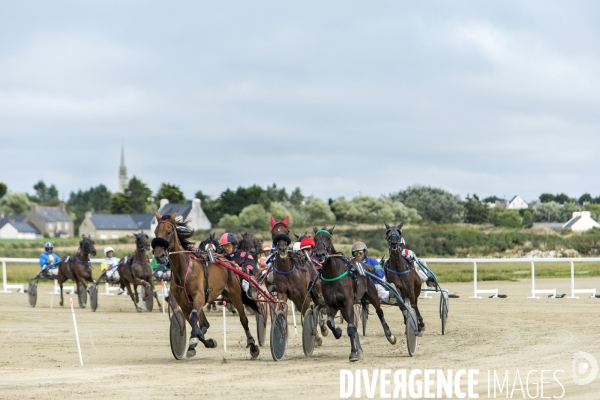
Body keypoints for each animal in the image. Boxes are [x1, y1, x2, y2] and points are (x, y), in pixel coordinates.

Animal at [152, 214, 260, 358]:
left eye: (168, 232)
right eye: (155, 232)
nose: (159, 255)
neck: (184, 270)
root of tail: (228, 263)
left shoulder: (199, 296)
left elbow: (194, 318)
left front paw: (195, 341)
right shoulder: (184, 302)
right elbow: (195, 322)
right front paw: (201, 341)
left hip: (235, 295)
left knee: (244, 320)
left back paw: (252, 345)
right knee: (204, 322)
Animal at [312, 227, 396, 360]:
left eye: (328, 238)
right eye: (315, 239)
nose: (320, 254)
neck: (333, 274)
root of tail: (364, 265)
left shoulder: (348, 302)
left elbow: (351, 328)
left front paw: (353, 353)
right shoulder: (331, 304)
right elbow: (331, 323)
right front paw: (338, 332)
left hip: (371, 294)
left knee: (379, 312)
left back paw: (390, 336)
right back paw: (359, 349)